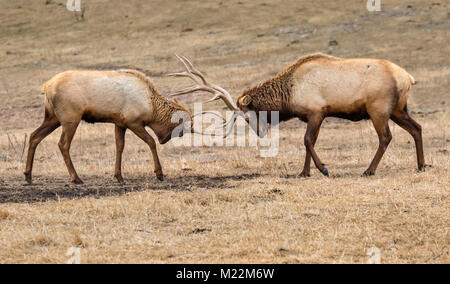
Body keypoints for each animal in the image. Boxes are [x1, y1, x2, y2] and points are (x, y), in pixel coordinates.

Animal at [24, 69, 192, 184]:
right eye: (185, 125)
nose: (165, 139)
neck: (151, 108)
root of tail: (46, 87)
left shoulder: (120, 123)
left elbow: (119, 147)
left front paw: (119, 176)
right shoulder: (133, 122)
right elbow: (151, 141)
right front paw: (159, 173)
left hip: (52, 118)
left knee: (34, 136)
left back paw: (28, 175)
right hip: (70, 119)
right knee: (63, 144)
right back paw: (76, 178)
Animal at [167, 53, 424, 176]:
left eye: (247, 116)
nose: (261, 133)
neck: (288, 95)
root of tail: (408, 77)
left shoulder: (317, 111)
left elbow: (307, 141)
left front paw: (323, 169)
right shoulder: (314, 115)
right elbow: (310, 142)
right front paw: (304, 172)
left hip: (378, 109)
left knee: (386, 137)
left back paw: (369, 170)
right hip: (398, 109)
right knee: (417, 128)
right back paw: (421, 165)